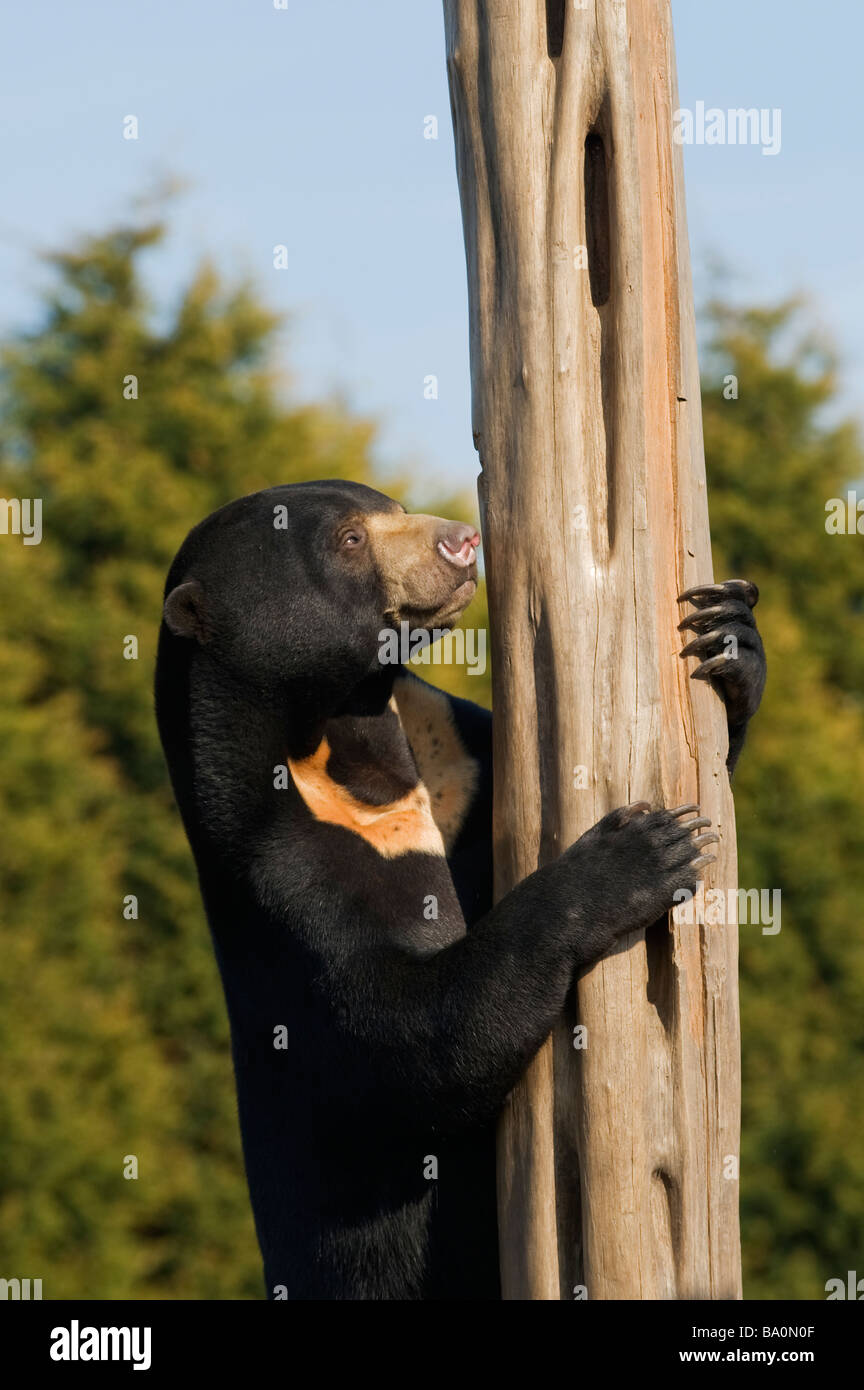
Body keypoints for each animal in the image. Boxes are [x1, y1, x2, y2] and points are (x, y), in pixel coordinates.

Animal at [154, 480, 766, 1301]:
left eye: (391, 505)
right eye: (349, 539)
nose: (461, 542)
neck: (346, 743)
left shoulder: (460, 757)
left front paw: (728, 634)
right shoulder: (285, 877)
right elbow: (411, 1038)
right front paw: (642, 851)